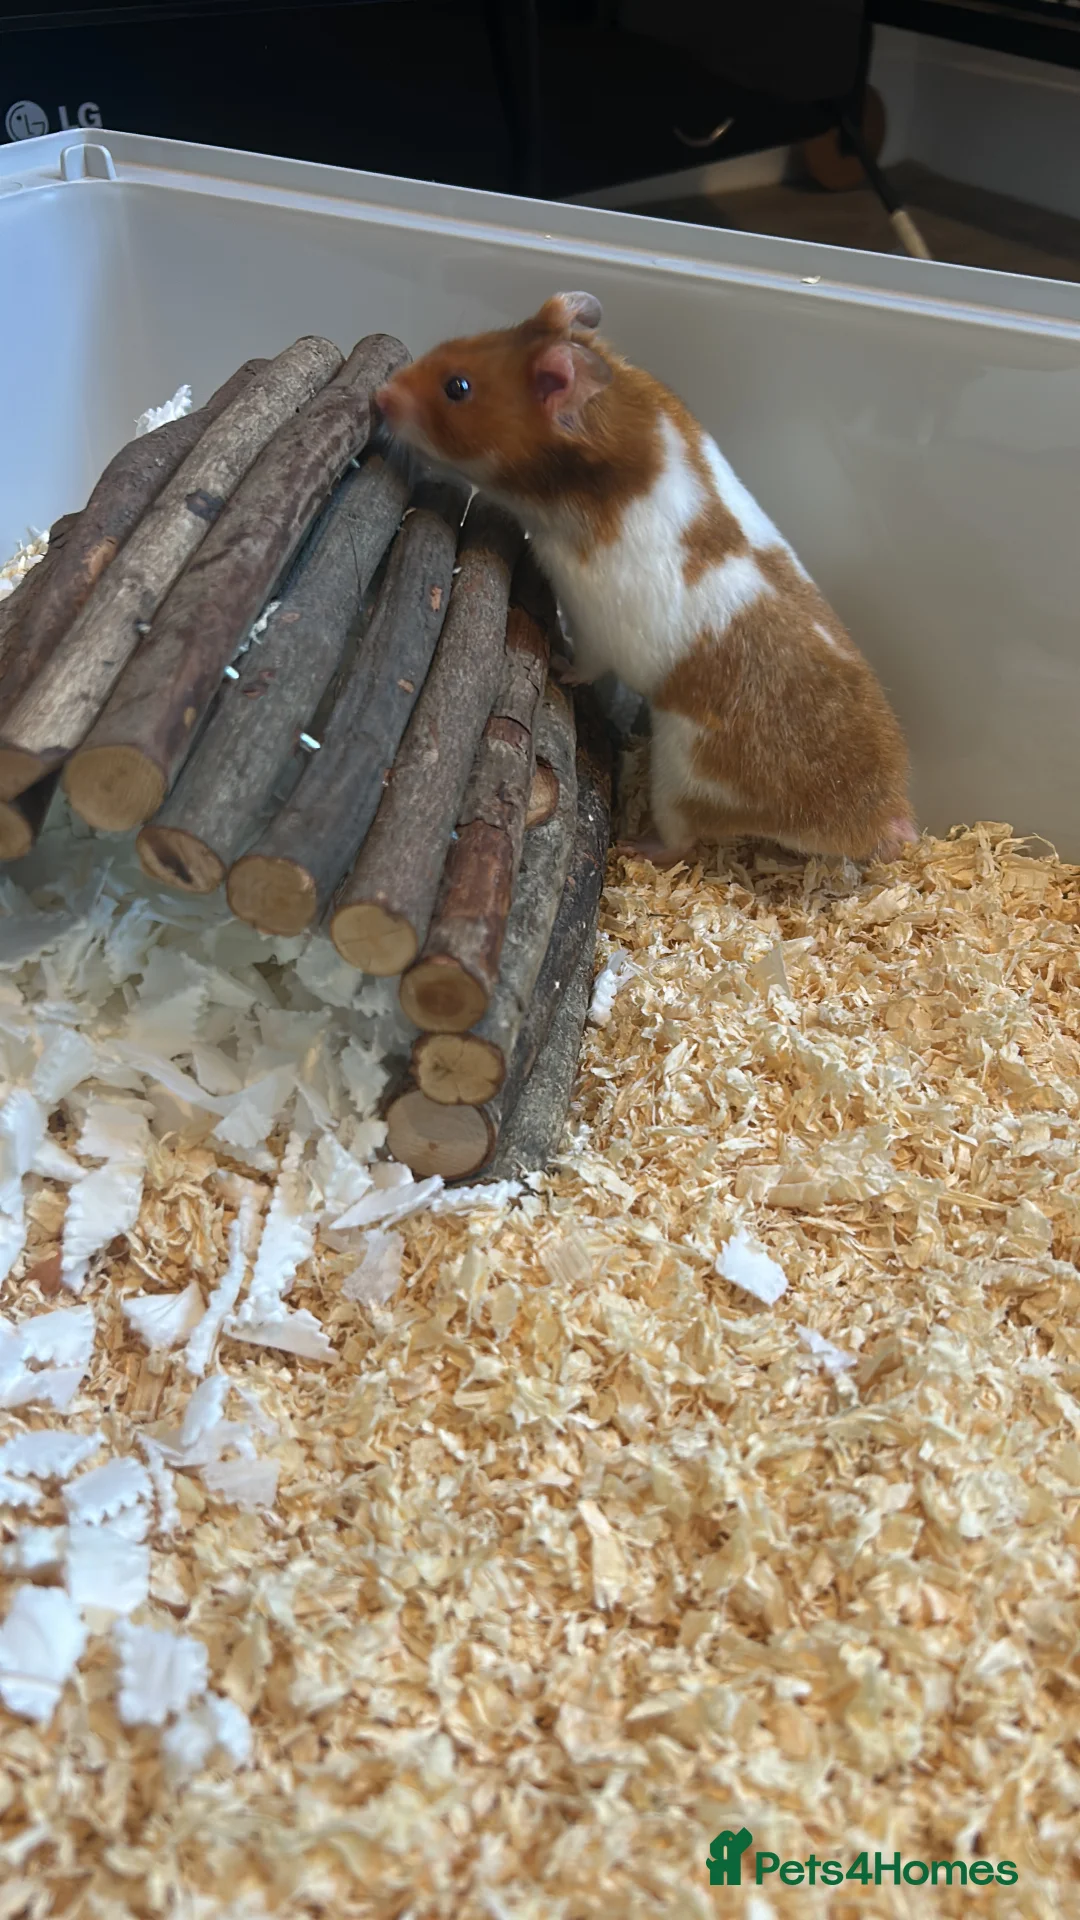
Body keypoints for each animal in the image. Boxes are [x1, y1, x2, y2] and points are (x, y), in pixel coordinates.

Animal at [376, 291, 915, 867]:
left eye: (458, 388)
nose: (381, 395)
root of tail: (884, 818)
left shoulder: (593, 620)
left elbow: (587, 661)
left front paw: (561, 668)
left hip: (682, 782)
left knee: (681, 839)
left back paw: (637, 845)